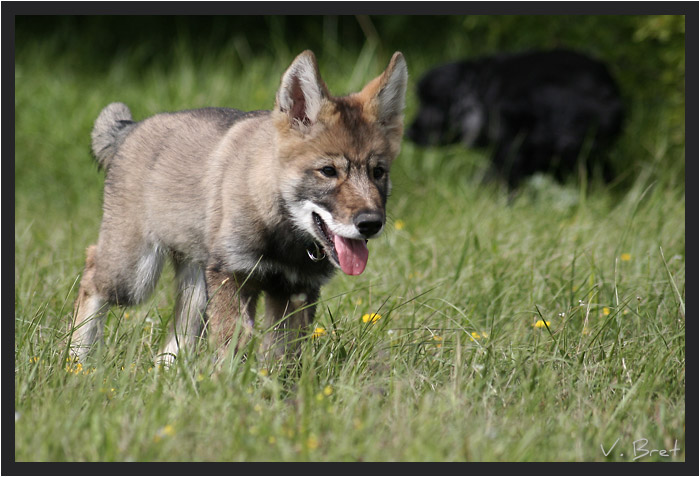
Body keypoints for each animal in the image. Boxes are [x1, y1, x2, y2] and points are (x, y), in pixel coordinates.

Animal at [71, 50, 408, 363]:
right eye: (328, 171)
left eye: (378, 172)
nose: (371, 224)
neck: (283, 233)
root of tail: (129, 128)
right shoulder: (232, 275)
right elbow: (233, 346)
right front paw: (228, 384)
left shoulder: (294, 291)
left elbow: (282, 357)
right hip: (134, 276)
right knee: (91, 271)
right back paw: (77, 360)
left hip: (195, 280)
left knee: (178, 333)